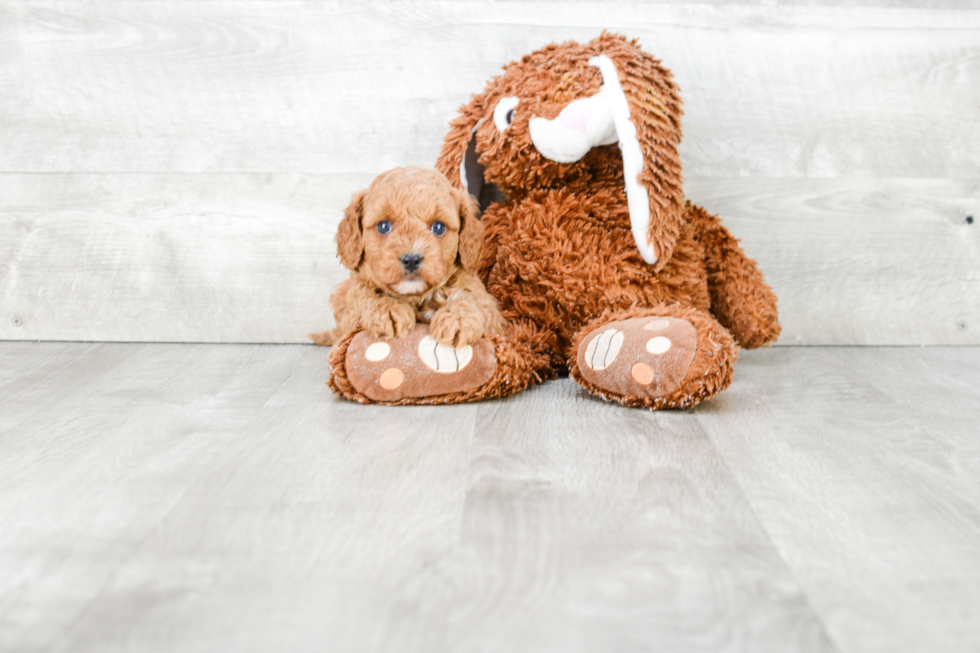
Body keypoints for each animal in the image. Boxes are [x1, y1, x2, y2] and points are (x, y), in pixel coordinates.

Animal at [308, 168, 506, 348]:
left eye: (438, 227)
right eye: (383, 226)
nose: (411, 259)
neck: (417, 297)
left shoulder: (490, 311)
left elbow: (473, 302)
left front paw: (457, 318)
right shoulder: (350, 314)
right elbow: (363, 297)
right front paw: (387, 309)